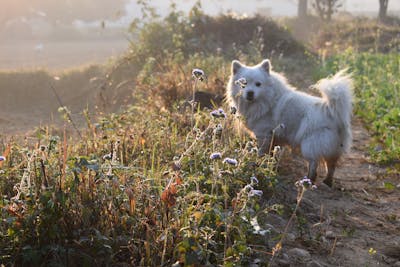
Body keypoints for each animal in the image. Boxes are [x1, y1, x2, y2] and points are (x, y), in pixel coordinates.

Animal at [227, 59, 352, 187]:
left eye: (258, 84)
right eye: (243, 83)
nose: (250, 93)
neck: (268, 100)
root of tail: (331, 111)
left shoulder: (263, 135)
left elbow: (261, 151)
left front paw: (257, 162)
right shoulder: (275, 139)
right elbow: (273, 155)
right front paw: (270, 166)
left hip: (310, 144)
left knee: (314, 163)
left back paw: (308, 180)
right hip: (334, 148)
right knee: (331, 165)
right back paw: (327, 182)